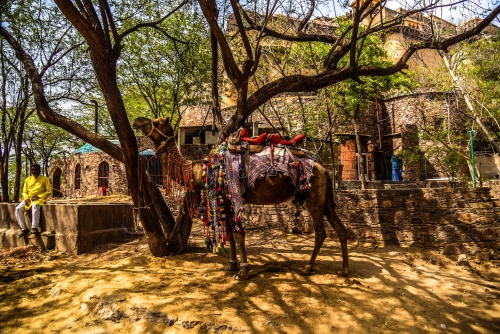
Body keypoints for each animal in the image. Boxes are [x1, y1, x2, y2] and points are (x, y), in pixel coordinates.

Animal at [134, 117, 348, 280]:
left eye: (156, 121)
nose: (137, 120)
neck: (200, 169)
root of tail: (325, 170)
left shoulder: (232, 197)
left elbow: (238, 234)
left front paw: (243, 271)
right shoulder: (226, 201)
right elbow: (230, 233)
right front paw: (231, 264)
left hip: (314, 196)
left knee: (321, 232)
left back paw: (308, 268)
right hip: (325, 199)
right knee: (340, 228)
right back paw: (344, 270)